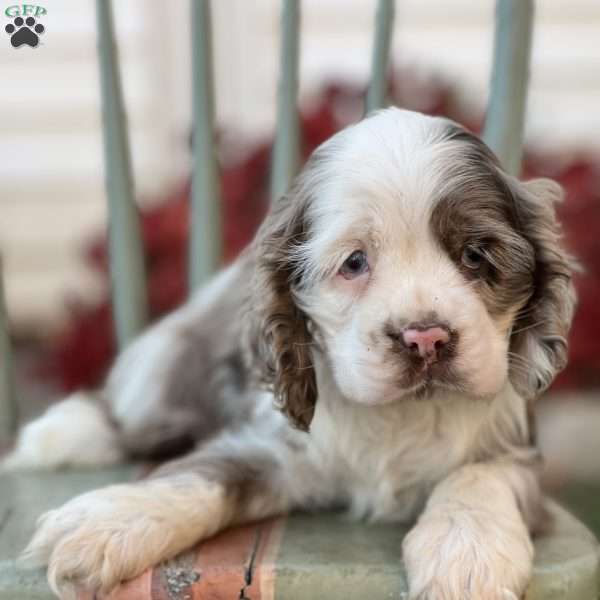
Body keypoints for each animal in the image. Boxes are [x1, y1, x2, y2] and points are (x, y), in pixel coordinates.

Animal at [4, 109, 576, 600]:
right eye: (354, 262)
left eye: (476, 255)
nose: (425, 339)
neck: (400, 416)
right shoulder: (276, 448)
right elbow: (204, 473)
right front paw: (105, 522)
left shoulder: (519, 454)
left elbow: (479, 475)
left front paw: (467, 555)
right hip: (165, 361)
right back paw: (63, 435)